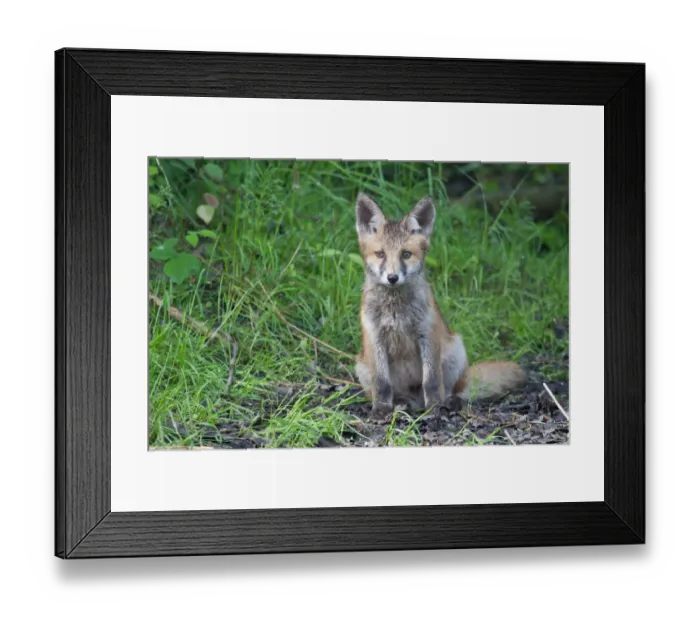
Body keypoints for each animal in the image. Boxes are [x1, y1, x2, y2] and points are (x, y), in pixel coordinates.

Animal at [353, 192, 527, 419]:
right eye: (380, 254)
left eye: (406, 254)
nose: (392, 278)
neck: (397, 312)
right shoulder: (375, 337)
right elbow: (382, 383)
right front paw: (381, 409)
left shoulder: (428, 335)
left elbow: (432, 381)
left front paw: (435, 408)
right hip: (362, 366)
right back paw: (401, 404)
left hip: (456, 350)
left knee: (454, 390)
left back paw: (447, 402)